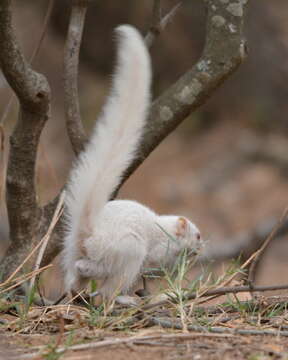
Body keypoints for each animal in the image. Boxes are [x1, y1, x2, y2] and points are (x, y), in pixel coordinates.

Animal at [62, 23, 202, 302]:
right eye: (197, 234)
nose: (202, 247)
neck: (163, 227)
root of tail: (88, 236)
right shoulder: (159, 248)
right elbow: (157, 262)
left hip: (75, 255)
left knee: (76, 275)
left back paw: (78, 292)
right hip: (128, 251)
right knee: (103, 281)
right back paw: (121, 298)